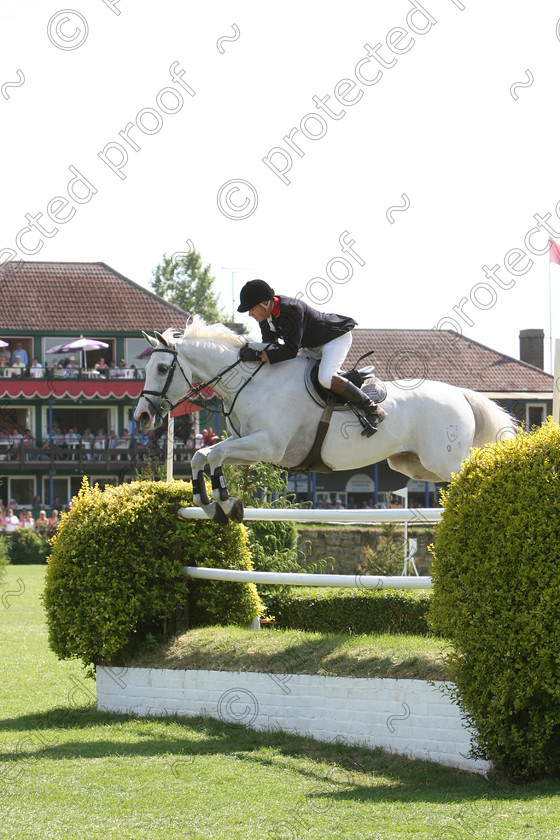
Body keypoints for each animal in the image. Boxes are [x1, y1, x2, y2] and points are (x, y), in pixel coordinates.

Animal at [135, 318, 516, 520]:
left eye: (163, 368)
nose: (141, 416)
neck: (251, 380)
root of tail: (460, 393)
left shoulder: (268, 447)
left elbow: (214, 455)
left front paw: (227, 502)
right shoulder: (245, 442)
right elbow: (202, 456)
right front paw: (210, 505)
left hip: (444, 461)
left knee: (473, 469)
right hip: (414, 465)